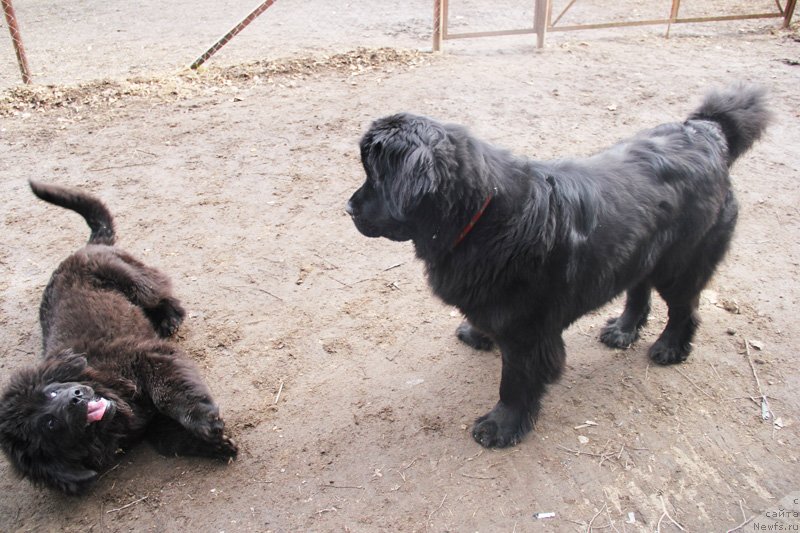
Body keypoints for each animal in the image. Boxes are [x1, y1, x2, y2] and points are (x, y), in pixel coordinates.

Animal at [0, 182, 238, 494]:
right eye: (49, 424)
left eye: (51, 392)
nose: (76, 397)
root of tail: (85, 247)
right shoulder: (151, 424)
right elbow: (171, 440)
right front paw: (215, 444)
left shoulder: (149, 356)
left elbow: (167, 393)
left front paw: (205, 420)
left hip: (134, 281)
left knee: (162, 292)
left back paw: (169, 318)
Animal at [346, 83, 772, 446]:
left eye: (375, 176)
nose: (348, 208)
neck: (482, 215)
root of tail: (707, 132)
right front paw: (479, 334)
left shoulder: (529, 330)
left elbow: (515, 381)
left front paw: (501, 426)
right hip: (641, 249)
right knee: (639, 288)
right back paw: (623, 330)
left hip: (680, 263)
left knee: (686, 309)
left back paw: (669, 348)